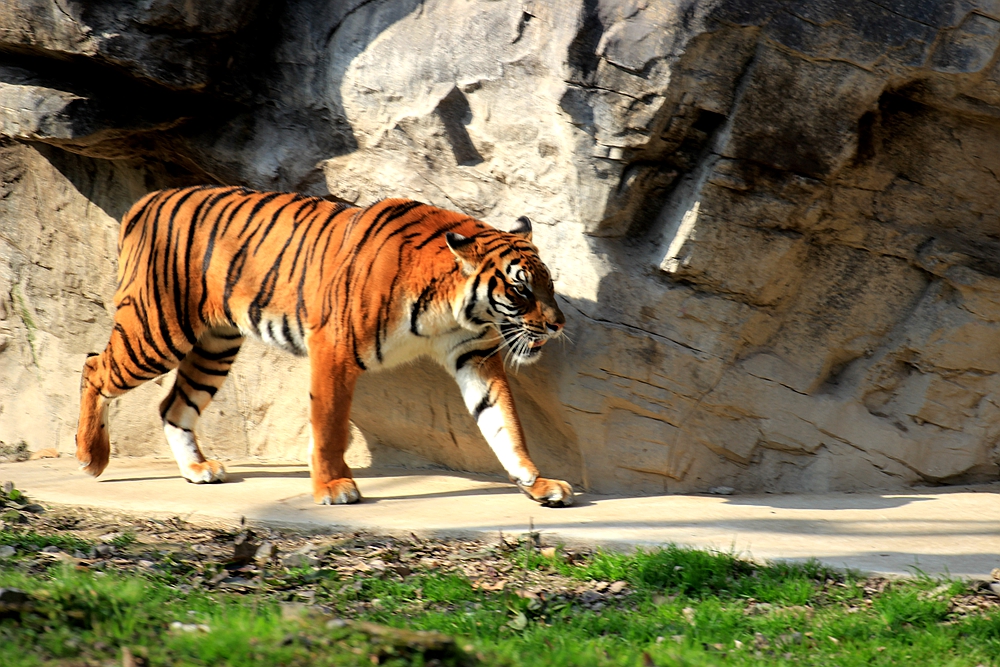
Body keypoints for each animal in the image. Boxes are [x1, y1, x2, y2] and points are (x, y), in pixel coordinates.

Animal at [74, 183, 576, 506]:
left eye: (549, 285)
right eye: (520, 290)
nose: (558, 325)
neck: (452, 308)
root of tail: (145, 201)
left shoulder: (475, 354)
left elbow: (504, 423)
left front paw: (537, 482)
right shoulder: (334, 347)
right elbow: (330, 422)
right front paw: (335, 487)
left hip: (216, 345)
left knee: (173, 407)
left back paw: (198, 470)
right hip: (157, 331)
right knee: (94, 366)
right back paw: (89, 457)